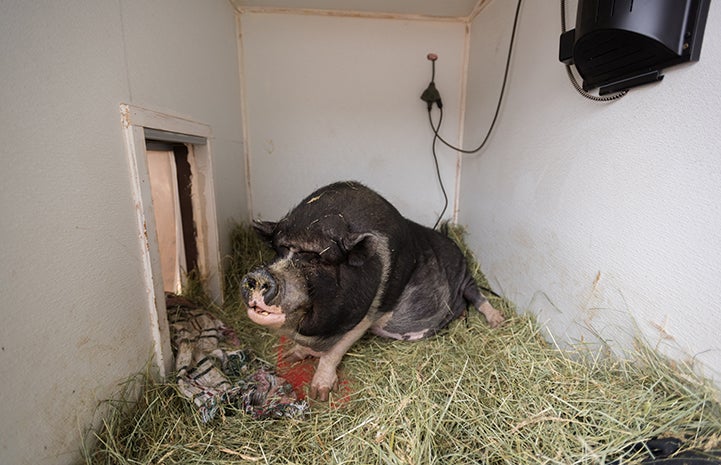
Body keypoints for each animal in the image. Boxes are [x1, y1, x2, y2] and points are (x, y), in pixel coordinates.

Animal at [240, 180, 500, 398]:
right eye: (279, 251)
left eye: (317, 259)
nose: (259, 276)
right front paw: (290, 356)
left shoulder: (369, 312)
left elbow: (334, 352)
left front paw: (320, 394)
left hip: (464, 276)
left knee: (477, 295)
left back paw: (498, 320)